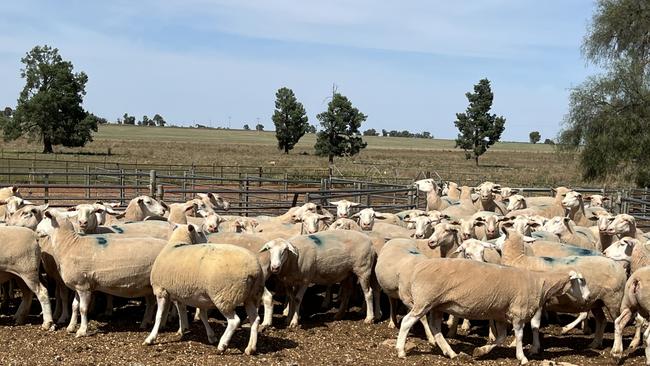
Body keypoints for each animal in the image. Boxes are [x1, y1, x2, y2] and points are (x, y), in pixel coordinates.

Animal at [392, 256, 584, 364]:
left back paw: (451, 353)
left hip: (438, 305)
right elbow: (519, 336)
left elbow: (501, 338)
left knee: (436, 328)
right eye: (581, 281)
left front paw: (481, 351)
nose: (588, 297)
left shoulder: (501, 314)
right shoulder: (518, 313)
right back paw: (401, 351)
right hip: (425, 300)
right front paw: (522, 357)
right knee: (407, 321)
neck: (540, 283)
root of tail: (416, 268)